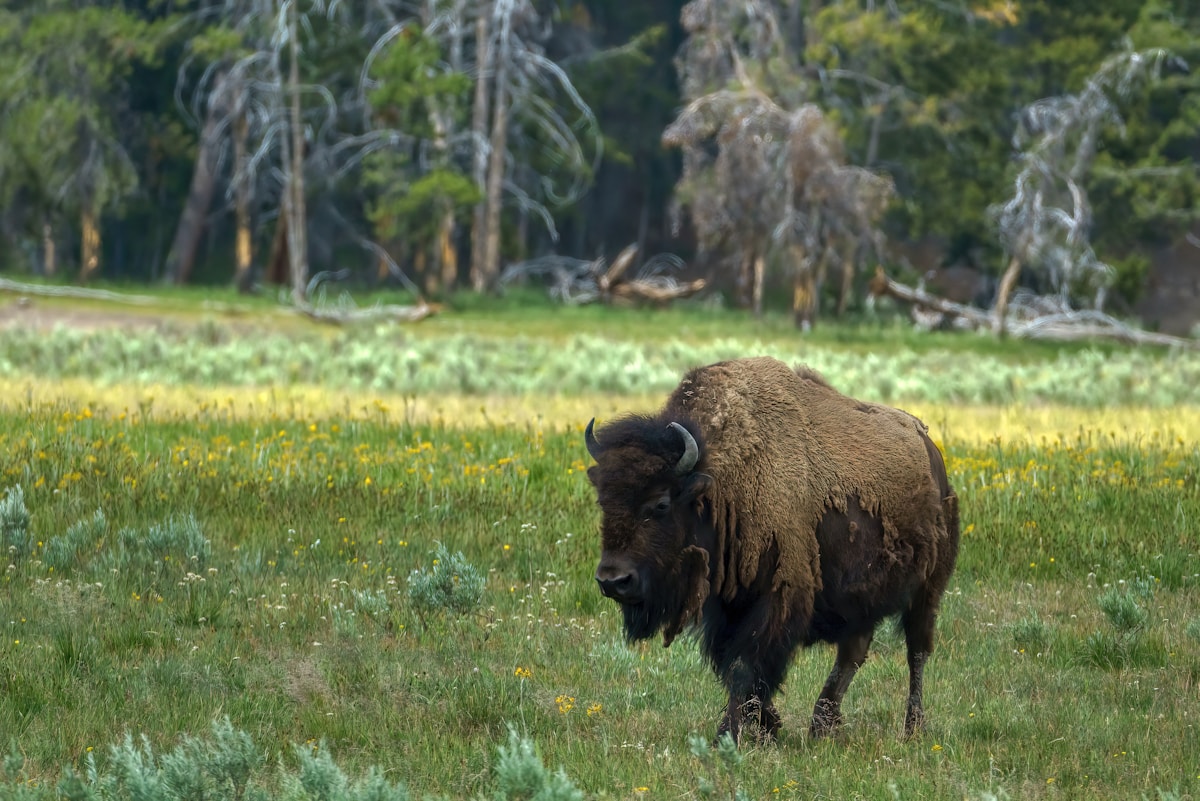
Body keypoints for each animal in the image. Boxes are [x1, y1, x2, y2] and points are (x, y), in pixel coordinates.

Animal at [584, 357, 960, 742]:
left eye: (660, 504)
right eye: (603, 500)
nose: (613, 580)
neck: (718, 481)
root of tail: (930, 449)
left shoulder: (778, 596)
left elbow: (746, 666)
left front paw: (729, 735)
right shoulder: (728, 606)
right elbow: (734, 666)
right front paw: (767, 727)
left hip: (928, 588)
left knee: (916, 651)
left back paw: (911, 728)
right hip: (862, 594)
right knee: (854, 650)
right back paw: (822, 725)